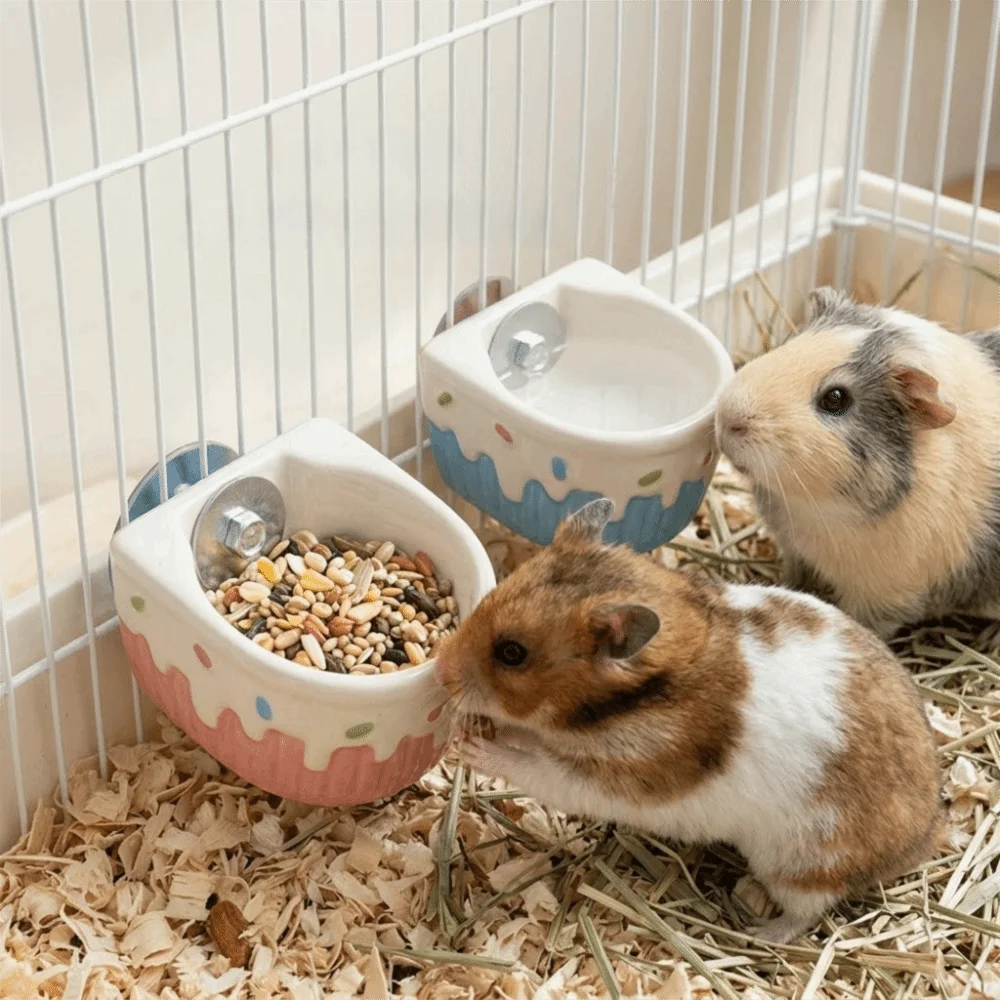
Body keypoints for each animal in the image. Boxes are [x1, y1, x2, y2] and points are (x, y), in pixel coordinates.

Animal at [433, 498, 943, 944]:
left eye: (511, 653)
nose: (441, 671)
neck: (629, 701)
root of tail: (927, 835)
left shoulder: (619, 778)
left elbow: (536, 767)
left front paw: (467, 746)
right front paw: (470, 730)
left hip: (802, 862)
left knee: (810, 909)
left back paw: (758, 931)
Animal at [716, 287, 1000, 638]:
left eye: (836, 398)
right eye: (790, 344)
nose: (728, 417)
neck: (817, 510)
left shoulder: (884, 598)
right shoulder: (795, 552)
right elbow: (794, 578)